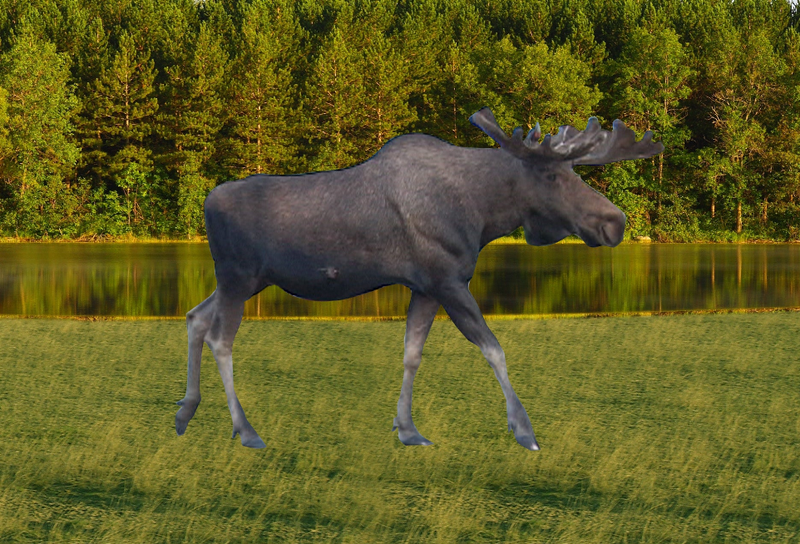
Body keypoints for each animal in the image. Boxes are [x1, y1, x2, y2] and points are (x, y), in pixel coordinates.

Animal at [175, 107, 664, 451]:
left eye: (576, 172)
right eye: (551, 174)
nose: (615, 222)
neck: (484, 212)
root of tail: (207, 202)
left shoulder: (425, 288)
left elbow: (412, 354)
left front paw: (408, 429)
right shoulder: (448, 279)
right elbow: (495, 349)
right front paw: (524, 430)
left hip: (247, 280)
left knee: (195, 316)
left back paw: (185, 412)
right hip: (238, 275)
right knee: (220, 338)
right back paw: (245, 430)